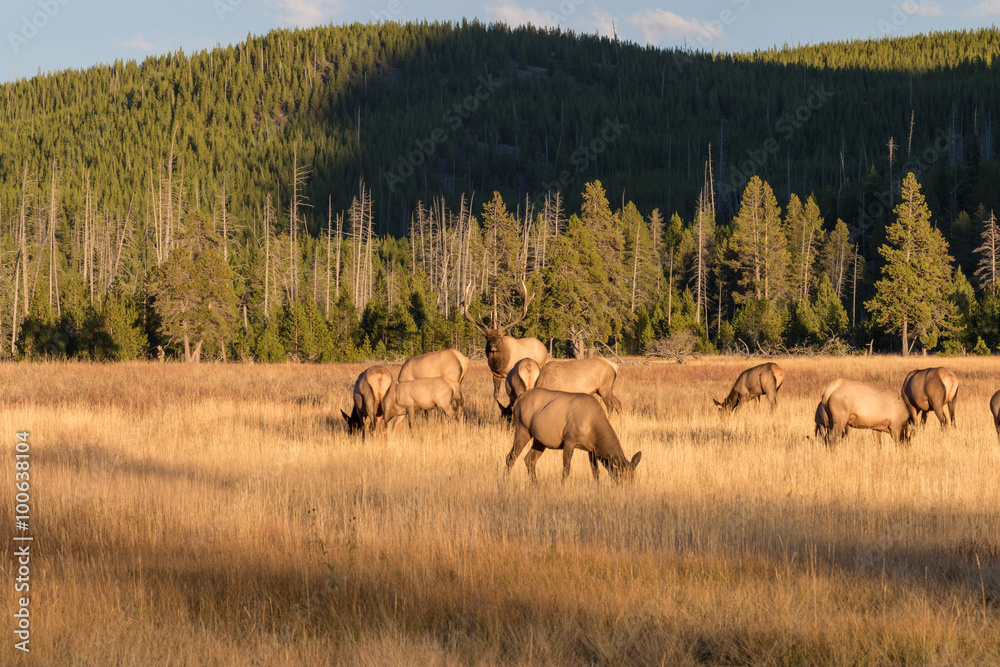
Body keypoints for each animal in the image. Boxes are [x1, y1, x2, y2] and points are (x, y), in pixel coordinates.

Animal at [462, 281, 547, 411]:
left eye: (500, 337)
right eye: (487, 337)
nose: (492, 345)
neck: (500, 364)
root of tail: (544, 346)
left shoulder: (509, 374)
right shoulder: (495, 374)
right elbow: (495, 394)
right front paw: (492, 412)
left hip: (541, 365)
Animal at [506, 388, 642, 484]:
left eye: (633, 479)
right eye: (621, 477)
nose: (627, 489)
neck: (593, 427)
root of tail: (517, 399)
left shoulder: (591, 449)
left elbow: (595, 472)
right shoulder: (569, 440)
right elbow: (566, 469)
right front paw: (562, 486)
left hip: (540, 440)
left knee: (529, 459)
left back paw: (535, 485)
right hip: (522, 429)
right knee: (510, 457)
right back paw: (504, 481)